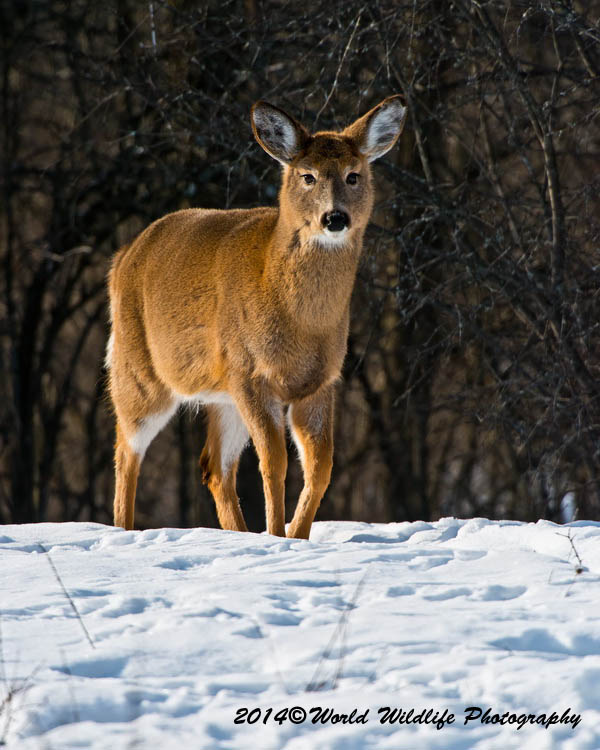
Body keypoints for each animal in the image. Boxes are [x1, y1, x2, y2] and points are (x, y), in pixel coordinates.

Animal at [106, 96, 407, 539]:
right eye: (307, 176)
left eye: (353, 175)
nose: (335, 217)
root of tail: (122, 257)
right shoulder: (251, 372)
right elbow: (275, 462)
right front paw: (277, 535)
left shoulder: (321, 382)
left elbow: (320, 467)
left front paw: (297, 536)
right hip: (140, 372)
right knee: (127, 450)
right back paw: (123, 530)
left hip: (221, 393)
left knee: (213, 467)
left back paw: (237, 533)